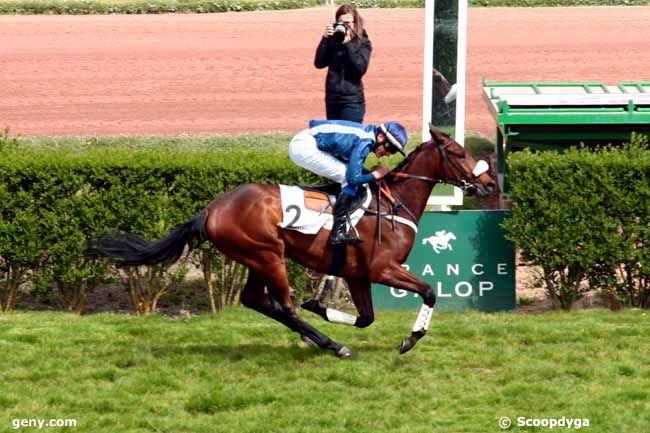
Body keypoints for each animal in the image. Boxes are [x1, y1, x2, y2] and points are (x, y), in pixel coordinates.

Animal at [87, 125, 496, 358]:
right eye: (459, 153)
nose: (489, 182)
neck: (393, 202)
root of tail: (210, 210)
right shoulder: (383, 268)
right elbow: (428, 292)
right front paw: (411, 339)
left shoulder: (358, 273)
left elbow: (365, 317)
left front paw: (321, 305)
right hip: (269, 256)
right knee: (283, 306)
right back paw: (332, 344)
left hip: (256, 258)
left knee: (257, 301)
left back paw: (318, 336)